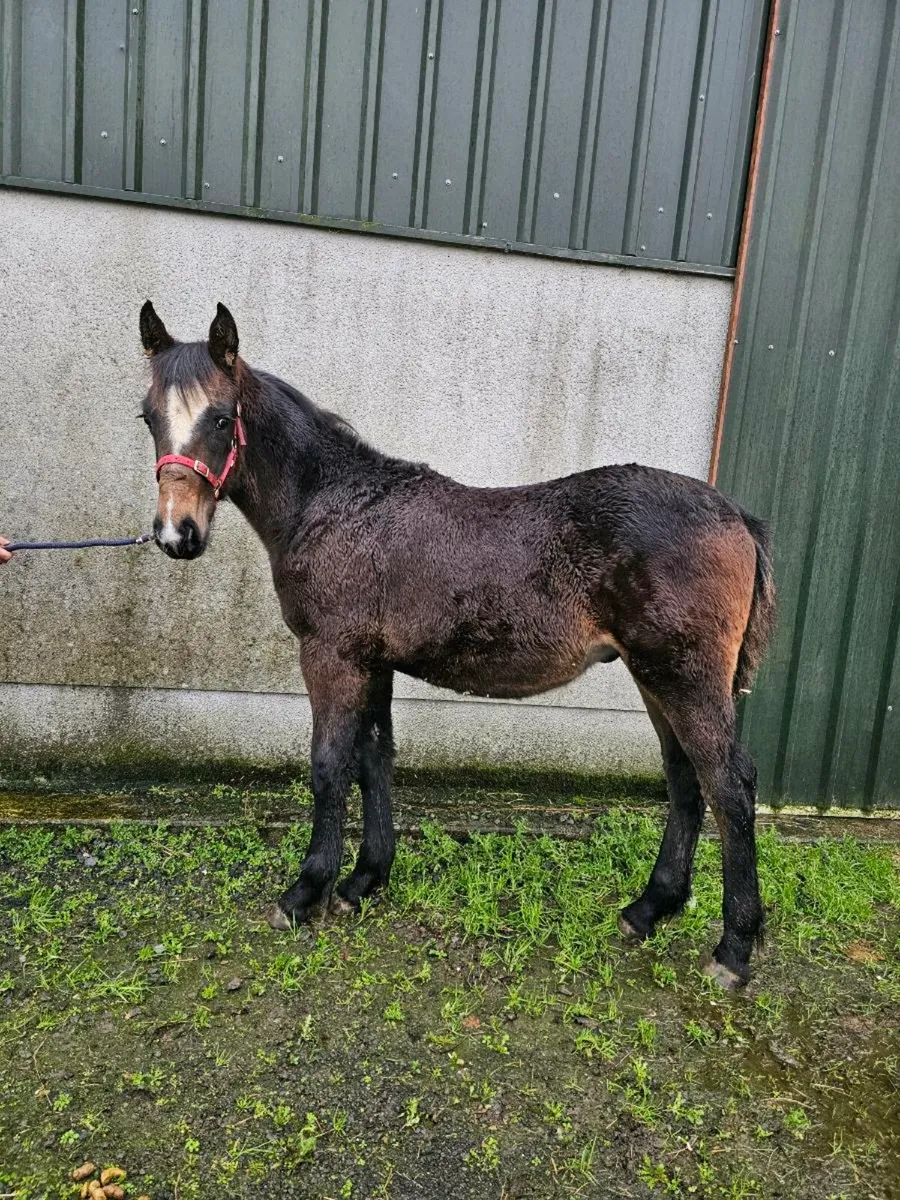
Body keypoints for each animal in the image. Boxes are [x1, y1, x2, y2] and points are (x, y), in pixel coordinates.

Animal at [137, 301, 775, 989]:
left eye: (221, 417)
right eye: (147, 417)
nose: (177, 534)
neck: (331, 504)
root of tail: (737, 516)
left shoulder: (331, 657)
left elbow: (330, 766)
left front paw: (305, 892)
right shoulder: (374, 663)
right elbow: (374, 760)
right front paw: (363, 881)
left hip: (684, 677)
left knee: (729, 785)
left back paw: (733, 949)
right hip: (655, 676)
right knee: (686, 779)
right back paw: (650, 908)